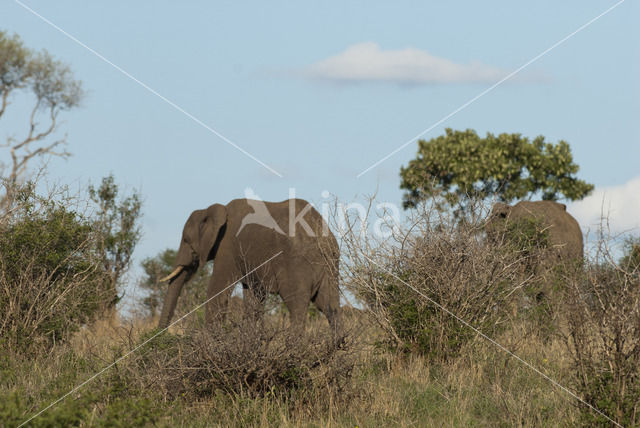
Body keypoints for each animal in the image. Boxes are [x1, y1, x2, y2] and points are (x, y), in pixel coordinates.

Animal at [158, 198, 342, 334]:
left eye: (186, 240)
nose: (160, 338)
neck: (214, 210)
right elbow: (253, 299)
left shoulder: (228, 247)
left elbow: (216, 290)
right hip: (330, 265)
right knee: (329, 305)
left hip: (297, 263)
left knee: (297, 307)